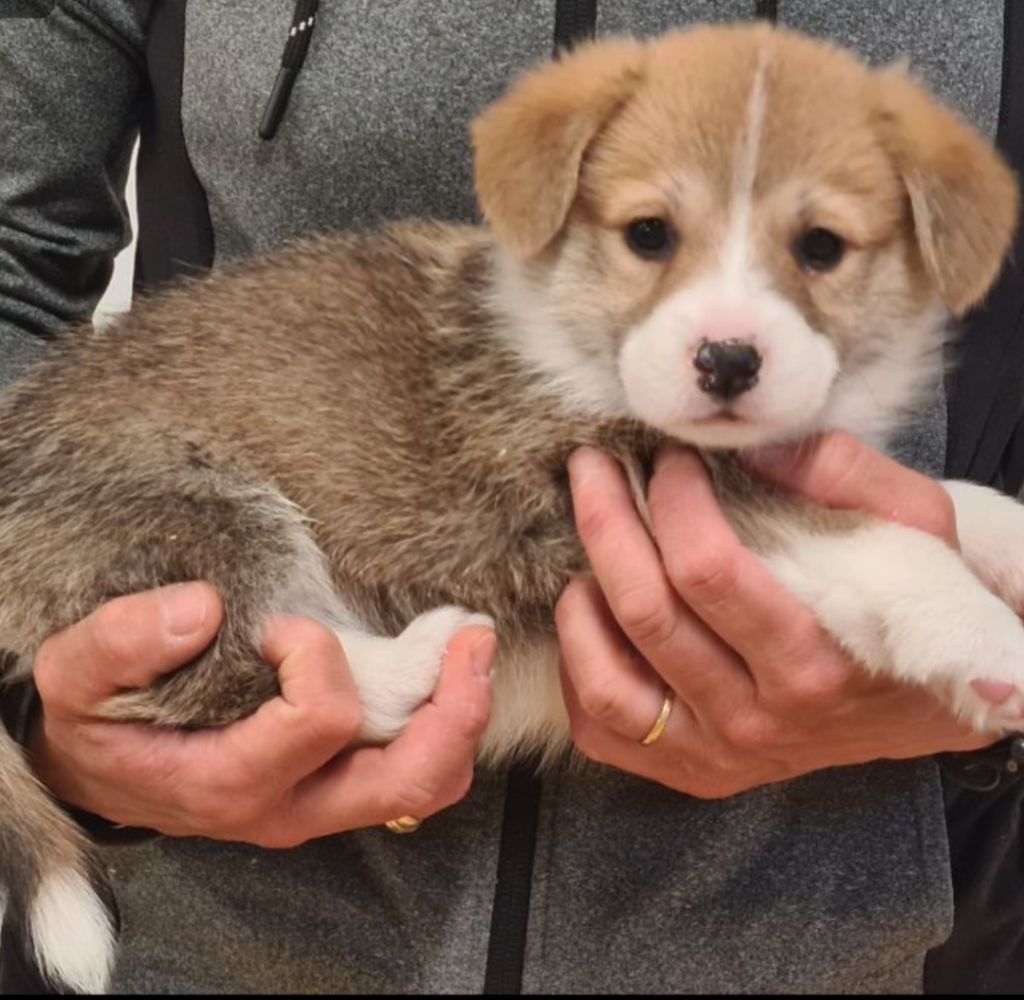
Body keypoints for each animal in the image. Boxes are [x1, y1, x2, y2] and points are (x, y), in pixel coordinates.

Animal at [2, 21, 1024, 990]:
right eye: (648, 233)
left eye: (822, 248)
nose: (728, 361)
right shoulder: (603, 478)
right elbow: (873, 537)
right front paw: (985, 637)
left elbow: (946, 502)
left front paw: (1004, 540)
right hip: (203, 514)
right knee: (240, 669)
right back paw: (418, 659)